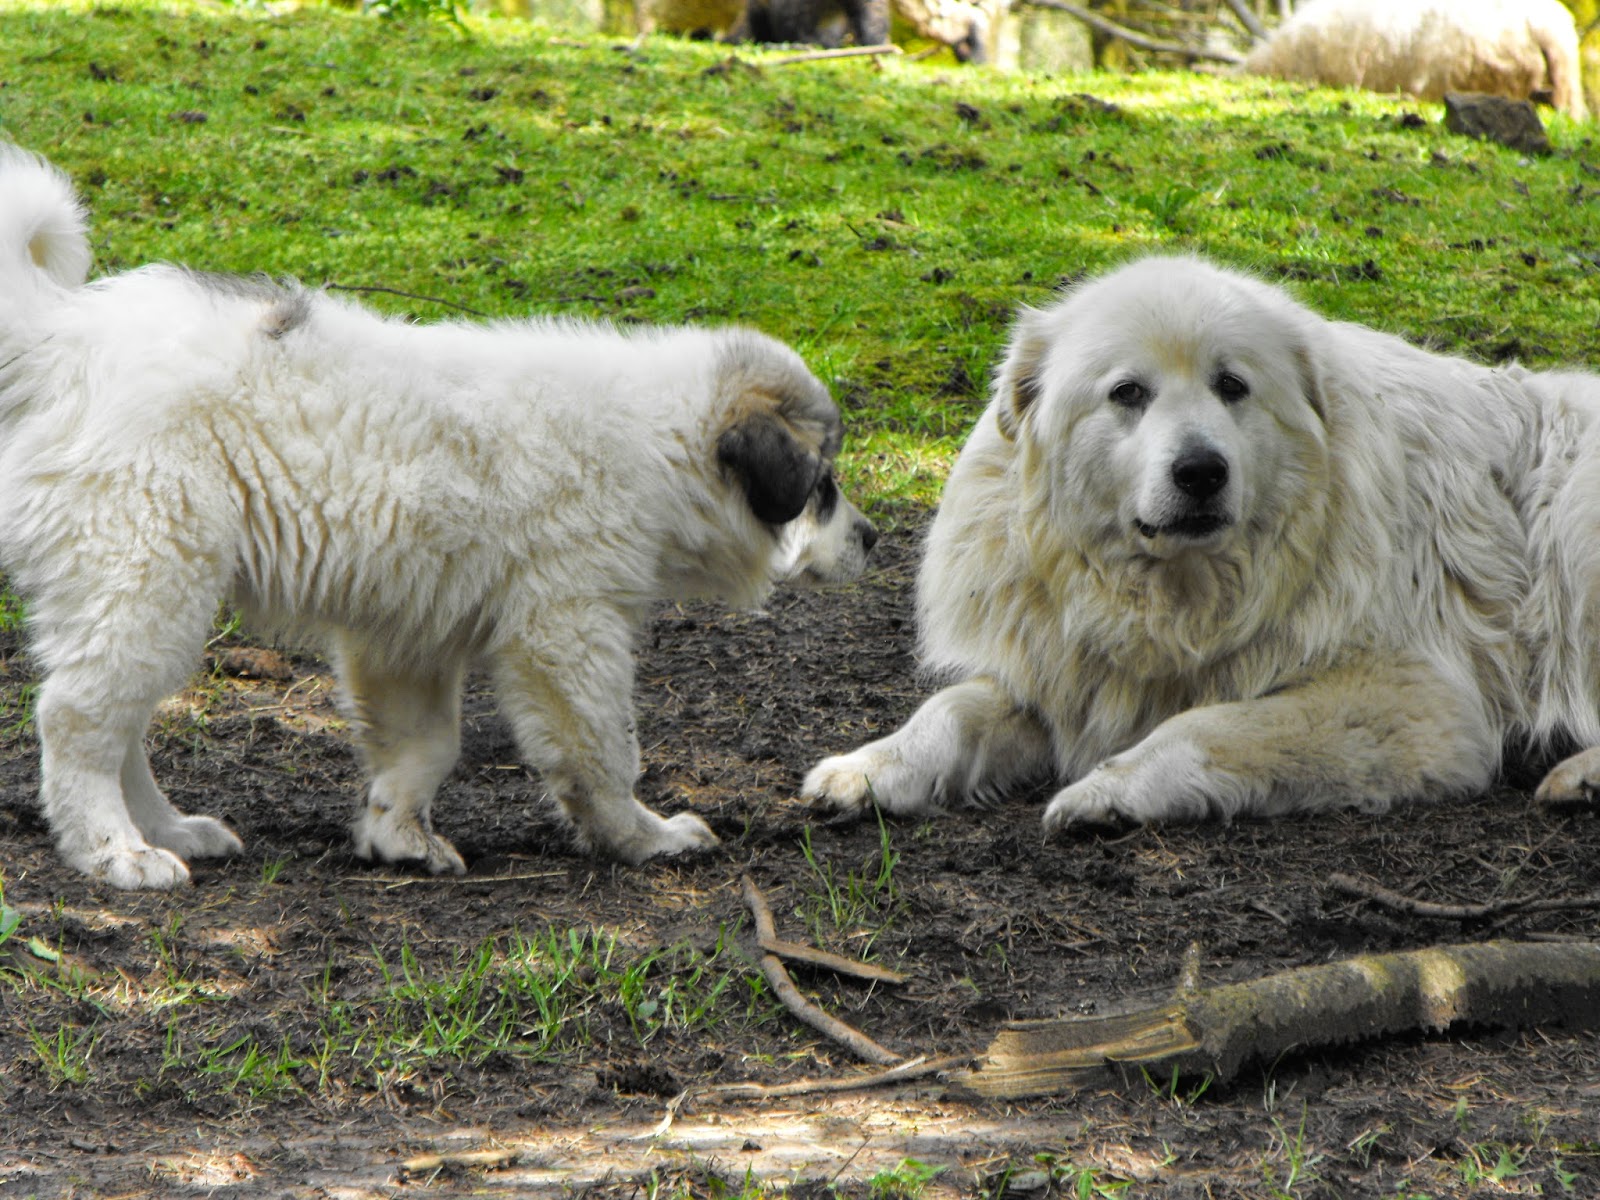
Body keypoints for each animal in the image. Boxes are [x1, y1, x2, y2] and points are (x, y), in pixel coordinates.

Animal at [0, 145, 877, 889]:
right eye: (823, 484)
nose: (871, 537)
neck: (657, 437)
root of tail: (68, 340)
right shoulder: (568, 632)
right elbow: (603, 752)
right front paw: (644, 836)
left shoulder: (406, 634)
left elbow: (424, 746)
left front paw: (398, 835)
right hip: (149, 571)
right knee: (78, 717)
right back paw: (114, 850)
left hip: (142, 587)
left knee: (122, 723)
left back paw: (169, 829)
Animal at [806, 254, 1600, 834]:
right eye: (1128, 392)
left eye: (1232, 386)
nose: (1200, 471)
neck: (1183, 598)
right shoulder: (1068, 679)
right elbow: (951, 711)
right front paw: (871, 767)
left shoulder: (1415, 701)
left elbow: (1212, 724)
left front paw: (1110, 791)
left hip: (1577, 515)